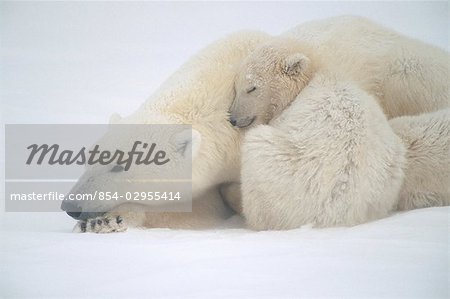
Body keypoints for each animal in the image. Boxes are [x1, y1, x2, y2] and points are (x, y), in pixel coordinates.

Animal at [64, 16, 450, 234]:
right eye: (93, 157)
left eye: (121, 165)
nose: (71, 205)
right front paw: (106, 220)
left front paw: (108, 220)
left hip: (409, 76)